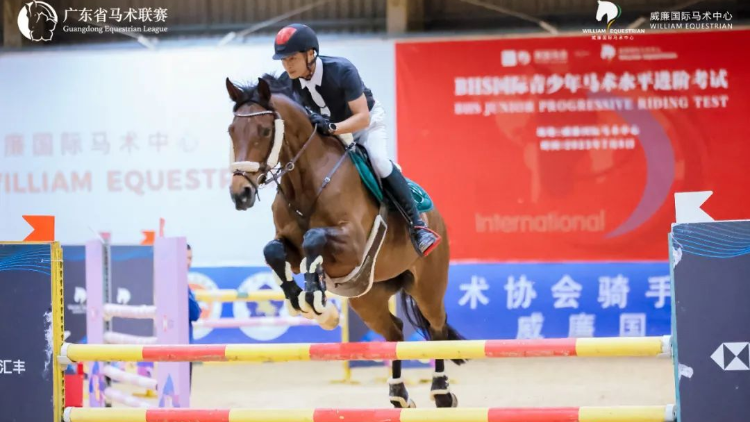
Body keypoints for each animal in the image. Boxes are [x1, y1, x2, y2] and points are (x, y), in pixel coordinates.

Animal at [225, 74, 464, 408]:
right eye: (231, 131)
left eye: (264, 130)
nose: (241, 194)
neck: (305, 180)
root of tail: (435, 215)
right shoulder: (290, 247)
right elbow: (274, 250)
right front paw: (305, 302)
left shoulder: (352, 246)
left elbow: (314, 237)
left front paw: (315, 298)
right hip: (367, 297)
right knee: (395, 332)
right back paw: (398, 394)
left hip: (428, 284)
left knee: (436, 326)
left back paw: (441, 392)